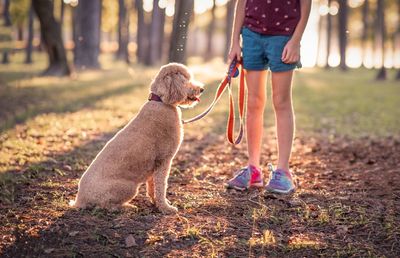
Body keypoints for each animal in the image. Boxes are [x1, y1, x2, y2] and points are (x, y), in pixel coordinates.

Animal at [70, 63, 205, 214]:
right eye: (185, 80)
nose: (201, 89)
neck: (161, 102)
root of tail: (79, 200)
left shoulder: (154, 165)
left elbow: (152, 187)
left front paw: (155, 202)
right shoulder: (164, 160)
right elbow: (161, 187)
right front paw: (165, 208)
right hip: (128, 188)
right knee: (106, 205)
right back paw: (128, 207)